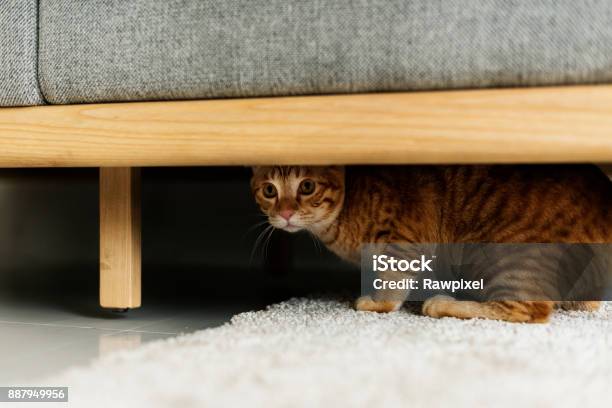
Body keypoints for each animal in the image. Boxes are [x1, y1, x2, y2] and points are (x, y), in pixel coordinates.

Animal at [251, 165, 608, 322]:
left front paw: (376, 303)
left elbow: (391, 286)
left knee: (526, 310)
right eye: (269, 190)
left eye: (307, 186)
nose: (285, 213)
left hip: (506, 255)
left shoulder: (404, 242)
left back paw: (444, 304)